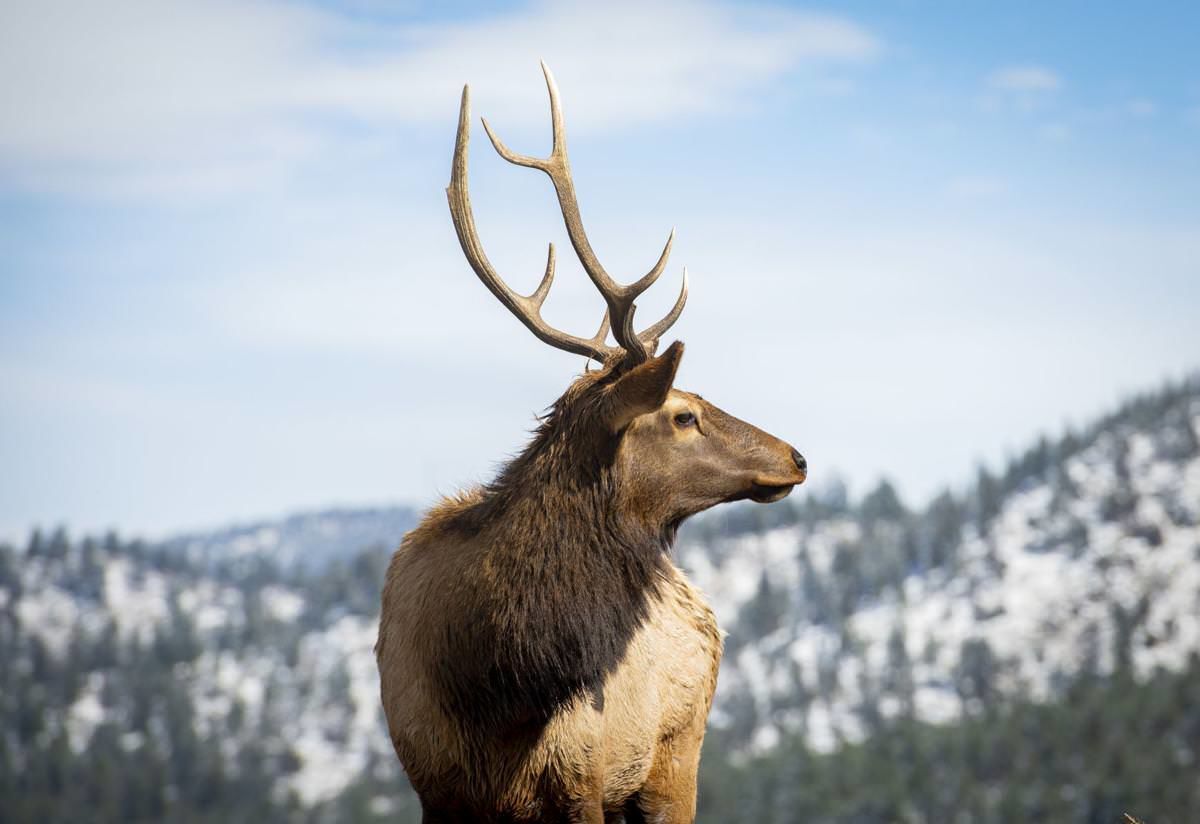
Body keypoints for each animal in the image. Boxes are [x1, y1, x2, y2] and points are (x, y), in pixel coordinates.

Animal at [375, 63, 807, 823]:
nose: (796, 457)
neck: (496, 689)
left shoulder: (583, 776)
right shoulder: (434, 786)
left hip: (674, 759)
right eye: (683, 414)